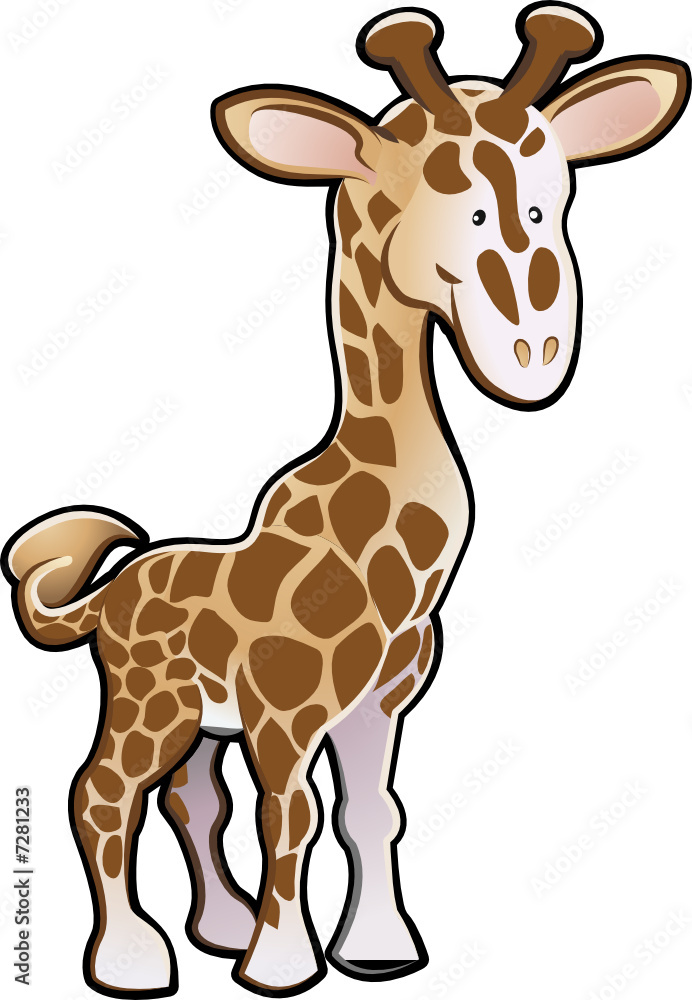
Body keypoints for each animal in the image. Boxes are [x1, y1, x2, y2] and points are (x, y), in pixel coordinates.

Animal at [2, 4, 688, 997]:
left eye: (547, 204)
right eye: (463, 207)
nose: (536, 352)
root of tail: (106, 595)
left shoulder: (379, 705)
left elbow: (370, 812)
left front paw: (376, 951)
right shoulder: (284, 711)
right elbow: (288, 816)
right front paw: (283, 966)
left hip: (202, 723)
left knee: (190, 795)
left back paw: (219, 929)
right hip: (151, 700)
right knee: (104, 792)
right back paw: (134, 959)